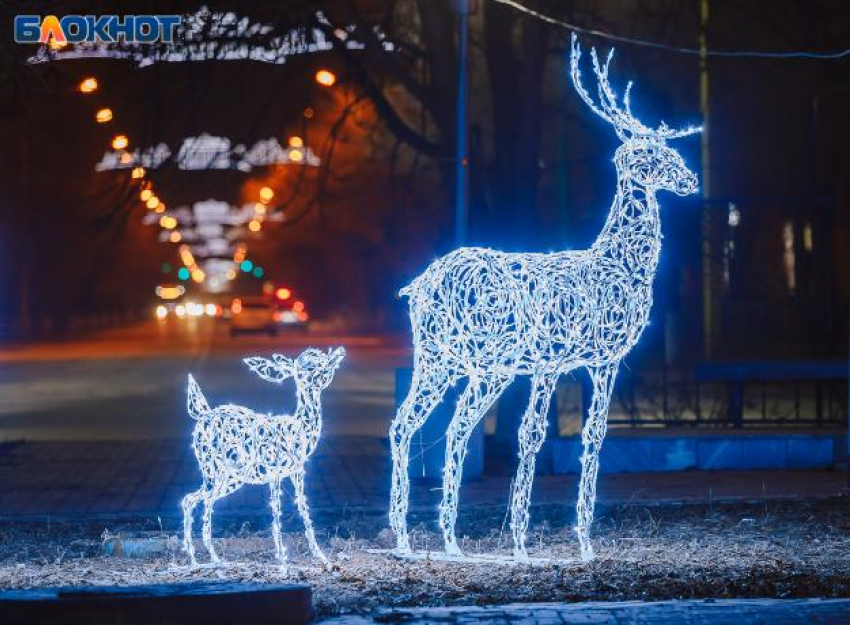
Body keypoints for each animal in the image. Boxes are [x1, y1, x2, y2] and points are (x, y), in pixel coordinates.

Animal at [182, 346, 344, 564]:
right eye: (309, 365)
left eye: (321, 356)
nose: (339, 352)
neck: (298, 429)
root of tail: (202, 414)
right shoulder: (274, 471)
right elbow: (276, 510)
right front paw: (283, 562)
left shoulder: (297, 472)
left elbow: (303, 507)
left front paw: (322, 558)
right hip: (212, 470)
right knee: (194, 500)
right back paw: (202, 559)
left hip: (230, 478)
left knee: (198, 499)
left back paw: (206, 558)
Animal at [388, 33, 700, 560]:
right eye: (648, 154)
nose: (691, 180)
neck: (621, 266)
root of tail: (418, 285)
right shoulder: (555, 359)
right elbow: (533, 435)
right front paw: (522, 543)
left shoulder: (601, 360)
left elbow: (594, 435)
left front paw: (584, 542)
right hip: (470, 359)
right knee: (433, 424)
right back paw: (427, 536)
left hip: (452, 361)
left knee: (427, 424)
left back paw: (429, 539)